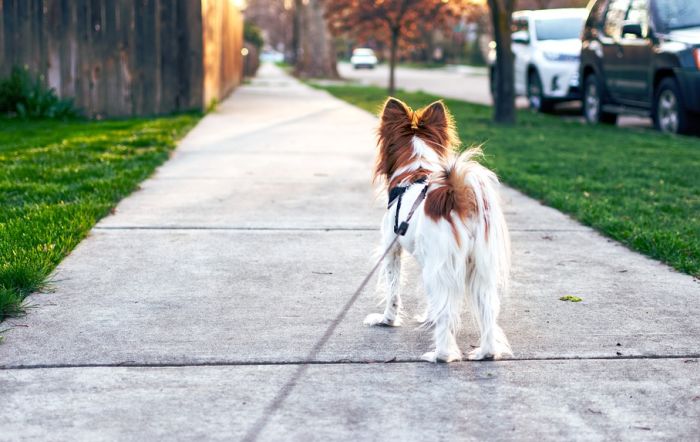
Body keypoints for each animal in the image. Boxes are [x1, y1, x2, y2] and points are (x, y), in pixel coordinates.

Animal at [364, 96, 512, 362]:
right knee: (488, 310)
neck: (416, 169)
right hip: (479, 268)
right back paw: (485, 353)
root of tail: (458, 196)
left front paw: (387, 320)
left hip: (442, 265)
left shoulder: (392, 249)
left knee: (447, 314)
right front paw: (427, 317)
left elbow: (393, 290)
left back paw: (440, 355)